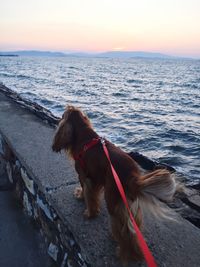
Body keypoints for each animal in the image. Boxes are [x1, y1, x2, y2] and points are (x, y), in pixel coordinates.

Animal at [52, 106, 177, 264]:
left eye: (62, 115)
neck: (84, 135)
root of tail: (133, 176)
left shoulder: (84, 175)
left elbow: (88, 194)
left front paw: (86, 207)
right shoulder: (96, 178)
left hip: (112, 198)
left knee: (126, 231)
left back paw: (127, 254)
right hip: (129, 203)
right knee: (132, 226)